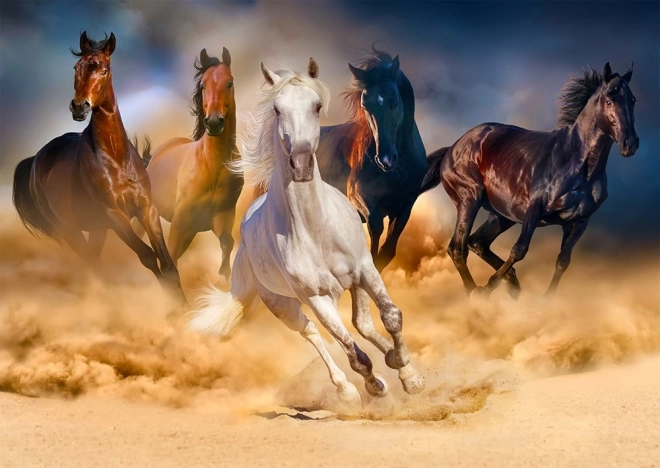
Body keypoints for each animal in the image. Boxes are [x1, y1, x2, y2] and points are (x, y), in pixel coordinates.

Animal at [11, 31, 183, 300]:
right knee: (91, 263)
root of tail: (35, 160)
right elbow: (147, 256)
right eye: (76, 67)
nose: (79, 107)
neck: (116, 158)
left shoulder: (147, 209)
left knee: (93, 259)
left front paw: (184, 304)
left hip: (96, 228)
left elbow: (167, 263)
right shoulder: (114, 215)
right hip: (69, 230)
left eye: (103, 70)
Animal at [143, 48, 242, 282]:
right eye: (203, 85)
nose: (214, 122)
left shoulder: (221, 217)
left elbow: (228, 243)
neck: (212, 166)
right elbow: (170, 257)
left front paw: (223, 278)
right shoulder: (181, 220)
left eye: (229, 82)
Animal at [256, 47, 427, 272]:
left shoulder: (405, 207)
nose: (385, 159)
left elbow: (387, 252)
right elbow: (374, 241)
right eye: (365, 105)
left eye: (395, 102)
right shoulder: (361, 200)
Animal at [419, 62, 639, 297]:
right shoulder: (535, 208)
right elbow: (519, 250)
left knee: (477, 243)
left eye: (632, 100)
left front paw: (545, 299)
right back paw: (476, 293)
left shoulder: (579, 221)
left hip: (501, 215)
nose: (630, 143)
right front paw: (488, 288)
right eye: (609, 101)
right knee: (457, 248)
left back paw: (512, 284)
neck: (578, 164)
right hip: (469, 200)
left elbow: (563, 261)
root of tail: (452, 148)